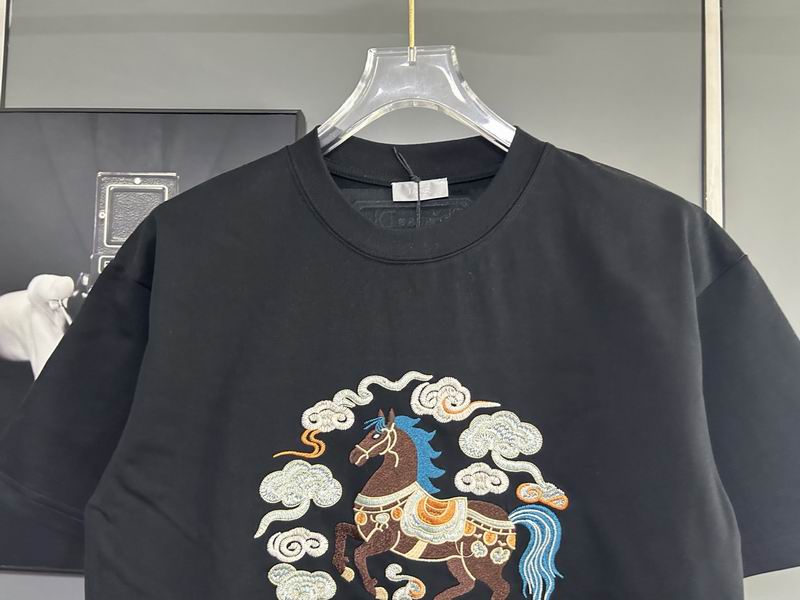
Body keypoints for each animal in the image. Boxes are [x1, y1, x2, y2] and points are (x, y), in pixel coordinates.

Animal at [332, 408, 563, 600]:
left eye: (376, 435)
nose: (353, 456)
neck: (391, 490)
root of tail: (510, 518)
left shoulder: (384, 540)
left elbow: (359, 554)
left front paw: (374, 588)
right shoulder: (366, 533)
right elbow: (341, 528)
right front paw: (342, 568)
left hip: (484, 564)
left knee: (501, 587)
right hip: (457, 560)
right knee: (468, 584)